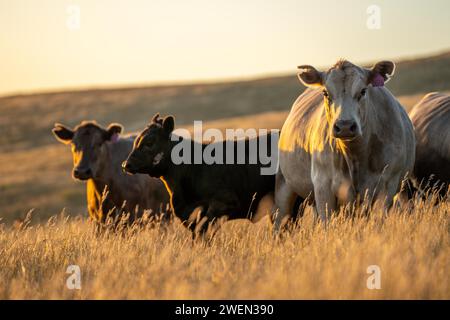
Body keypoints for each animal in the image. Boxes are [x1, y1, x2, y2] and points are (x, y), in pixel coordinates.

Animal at [270, 60, 414, 231]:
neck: (356, 155)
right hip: (284, 190)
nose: (345, 126)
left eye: (363, 91)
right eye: (326, 93)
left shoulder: (387, 186)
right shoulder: (323, 187)